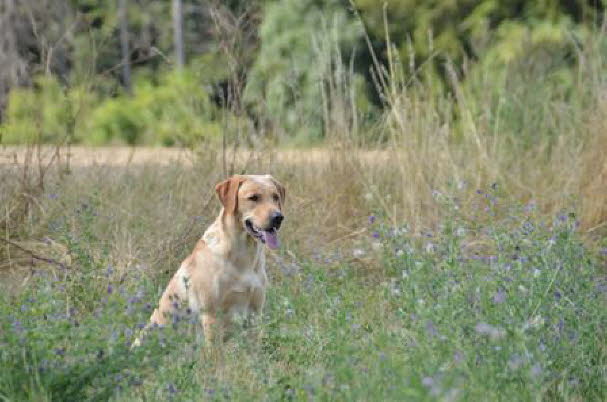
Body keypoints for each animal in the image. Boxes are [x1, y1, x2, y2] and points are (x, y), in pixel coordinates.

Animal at [133, 174, 284, 348]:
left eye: (275, 197)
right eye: (253, 197)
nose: (278, 217)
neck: (244, 255)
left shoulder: (254, 313)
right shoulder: (211, 315)